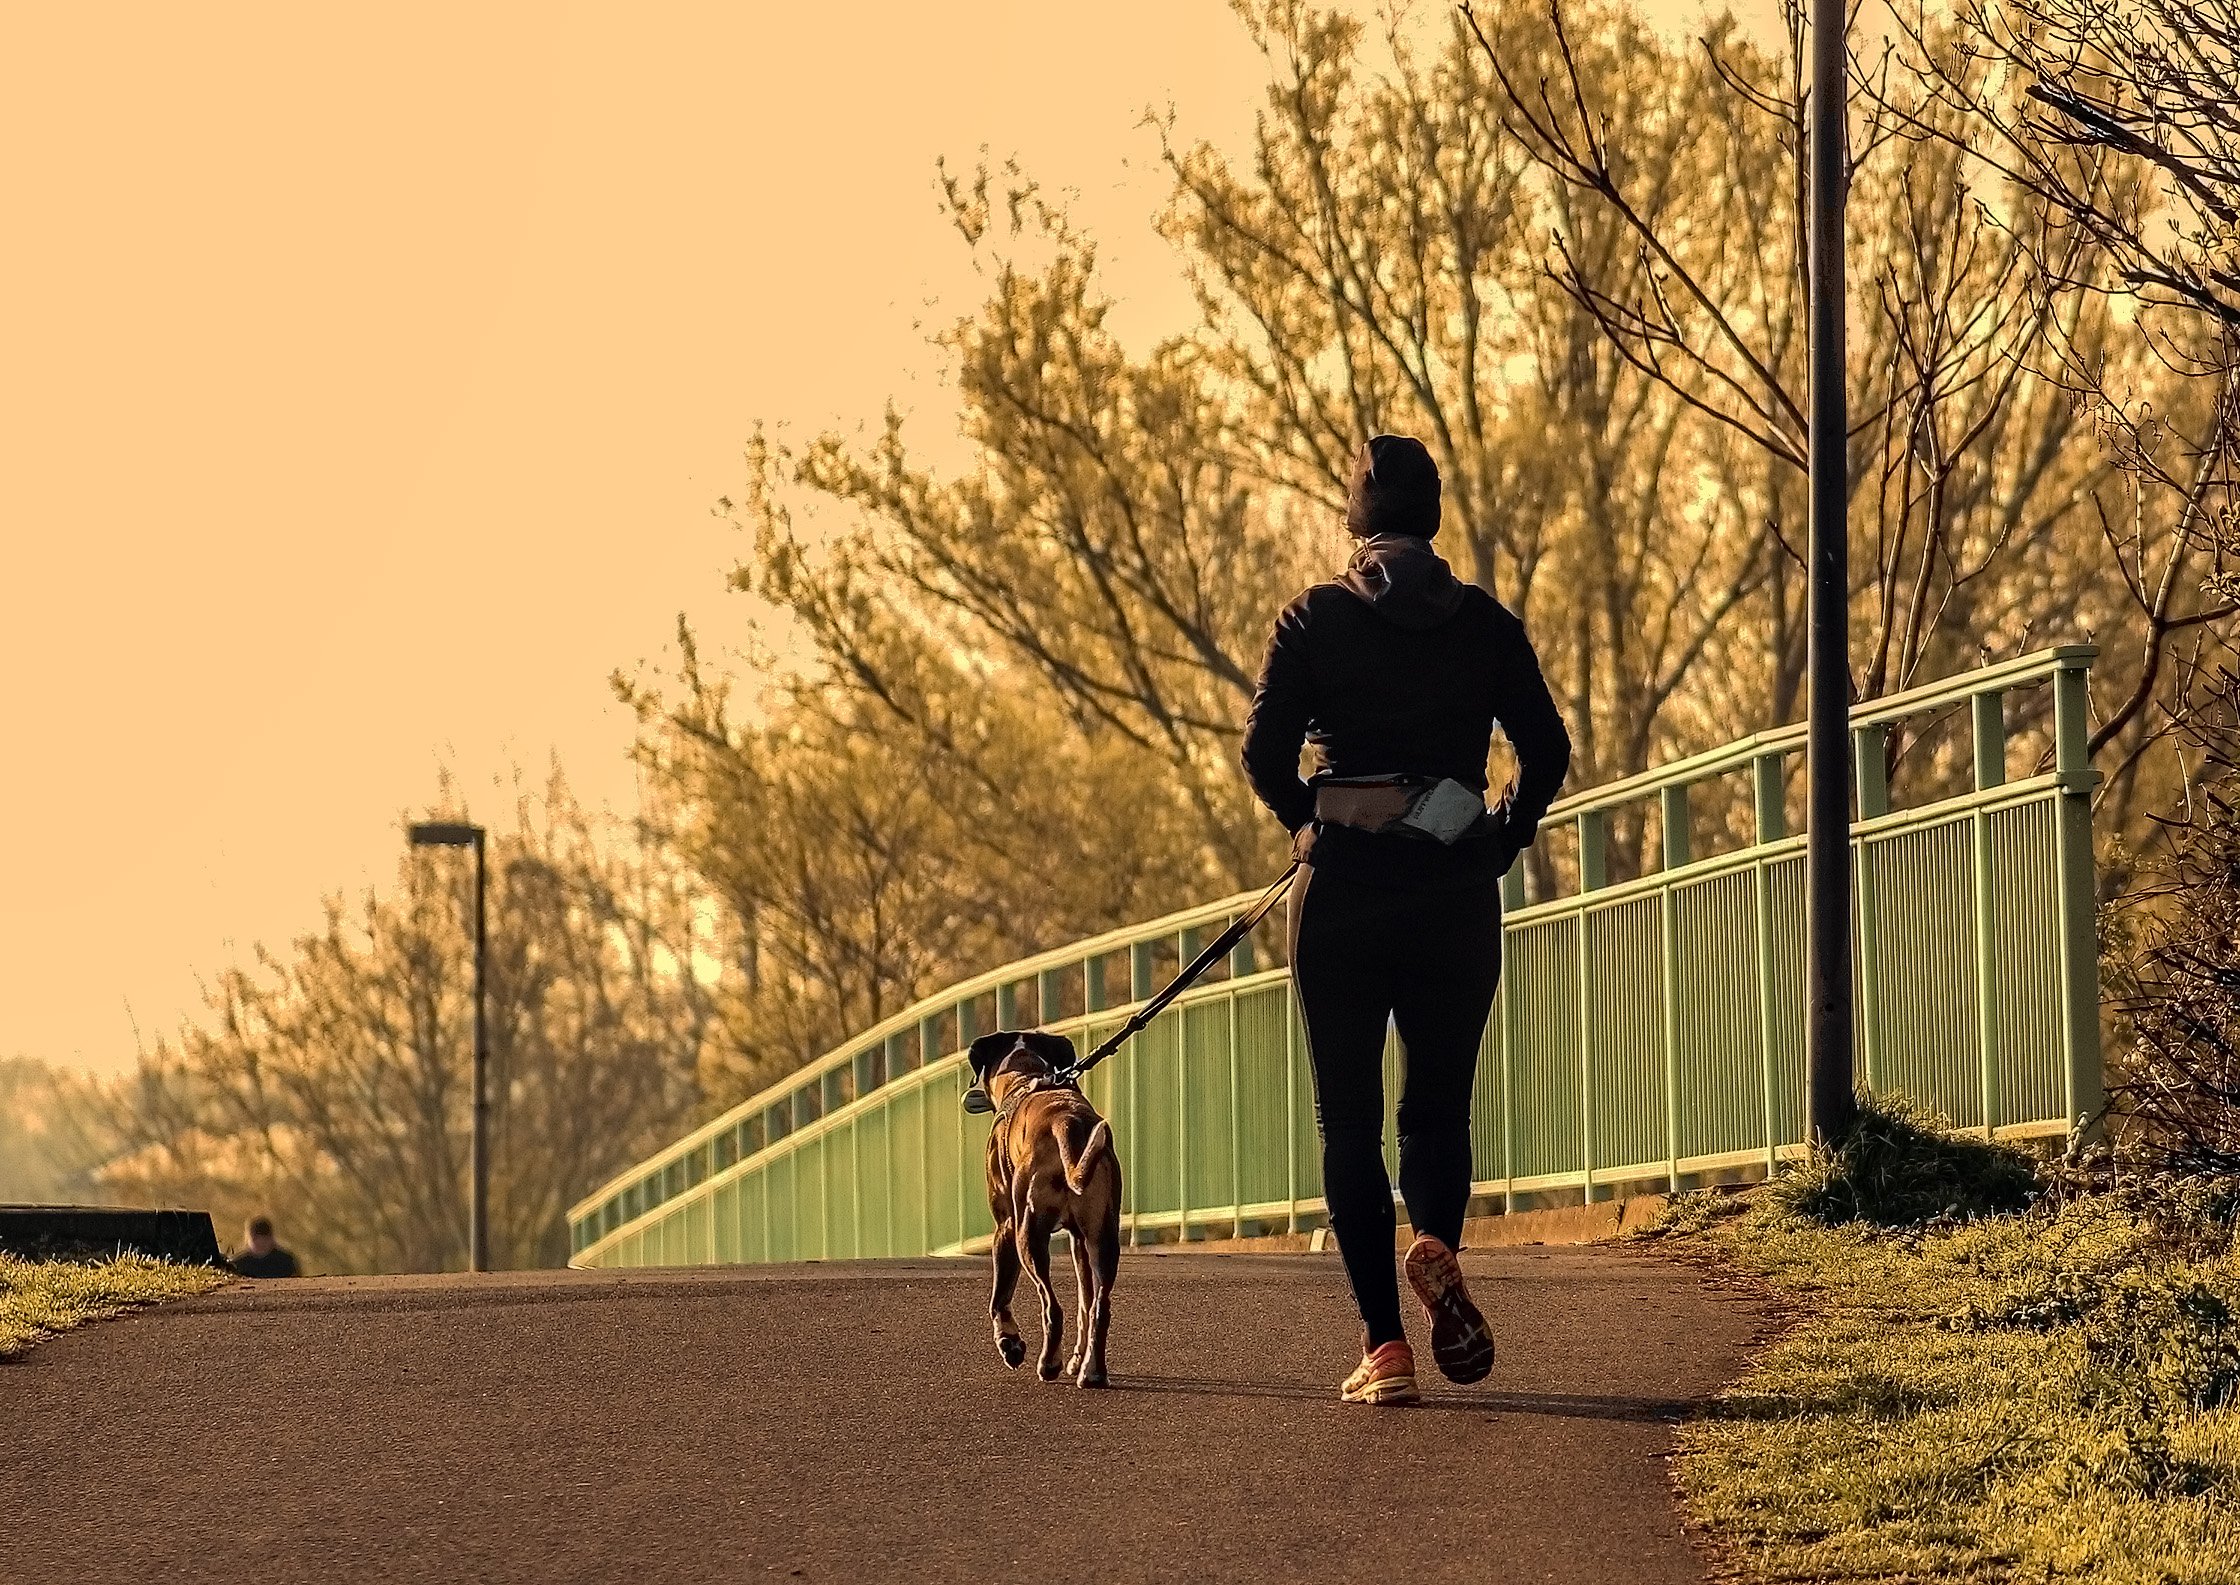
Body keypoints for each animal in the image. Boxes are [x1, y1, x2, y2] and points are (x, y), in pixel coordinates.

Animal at [972, 1029, 1128, 1387]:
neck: (1025, 1075)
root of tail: (1066, 1122)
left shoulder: (1005, 1227)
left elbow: (999, 1298)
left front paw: (1010, 1344)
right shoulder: (1078, 1241)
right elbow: (1085, 1301)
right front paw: (1078, 1358)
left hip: (1028, 1235)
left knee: (1052, 1306)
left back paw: (1048, 1363)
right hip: (1102, 1238)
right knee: (1099, 1307)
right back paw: (1091, 1371)